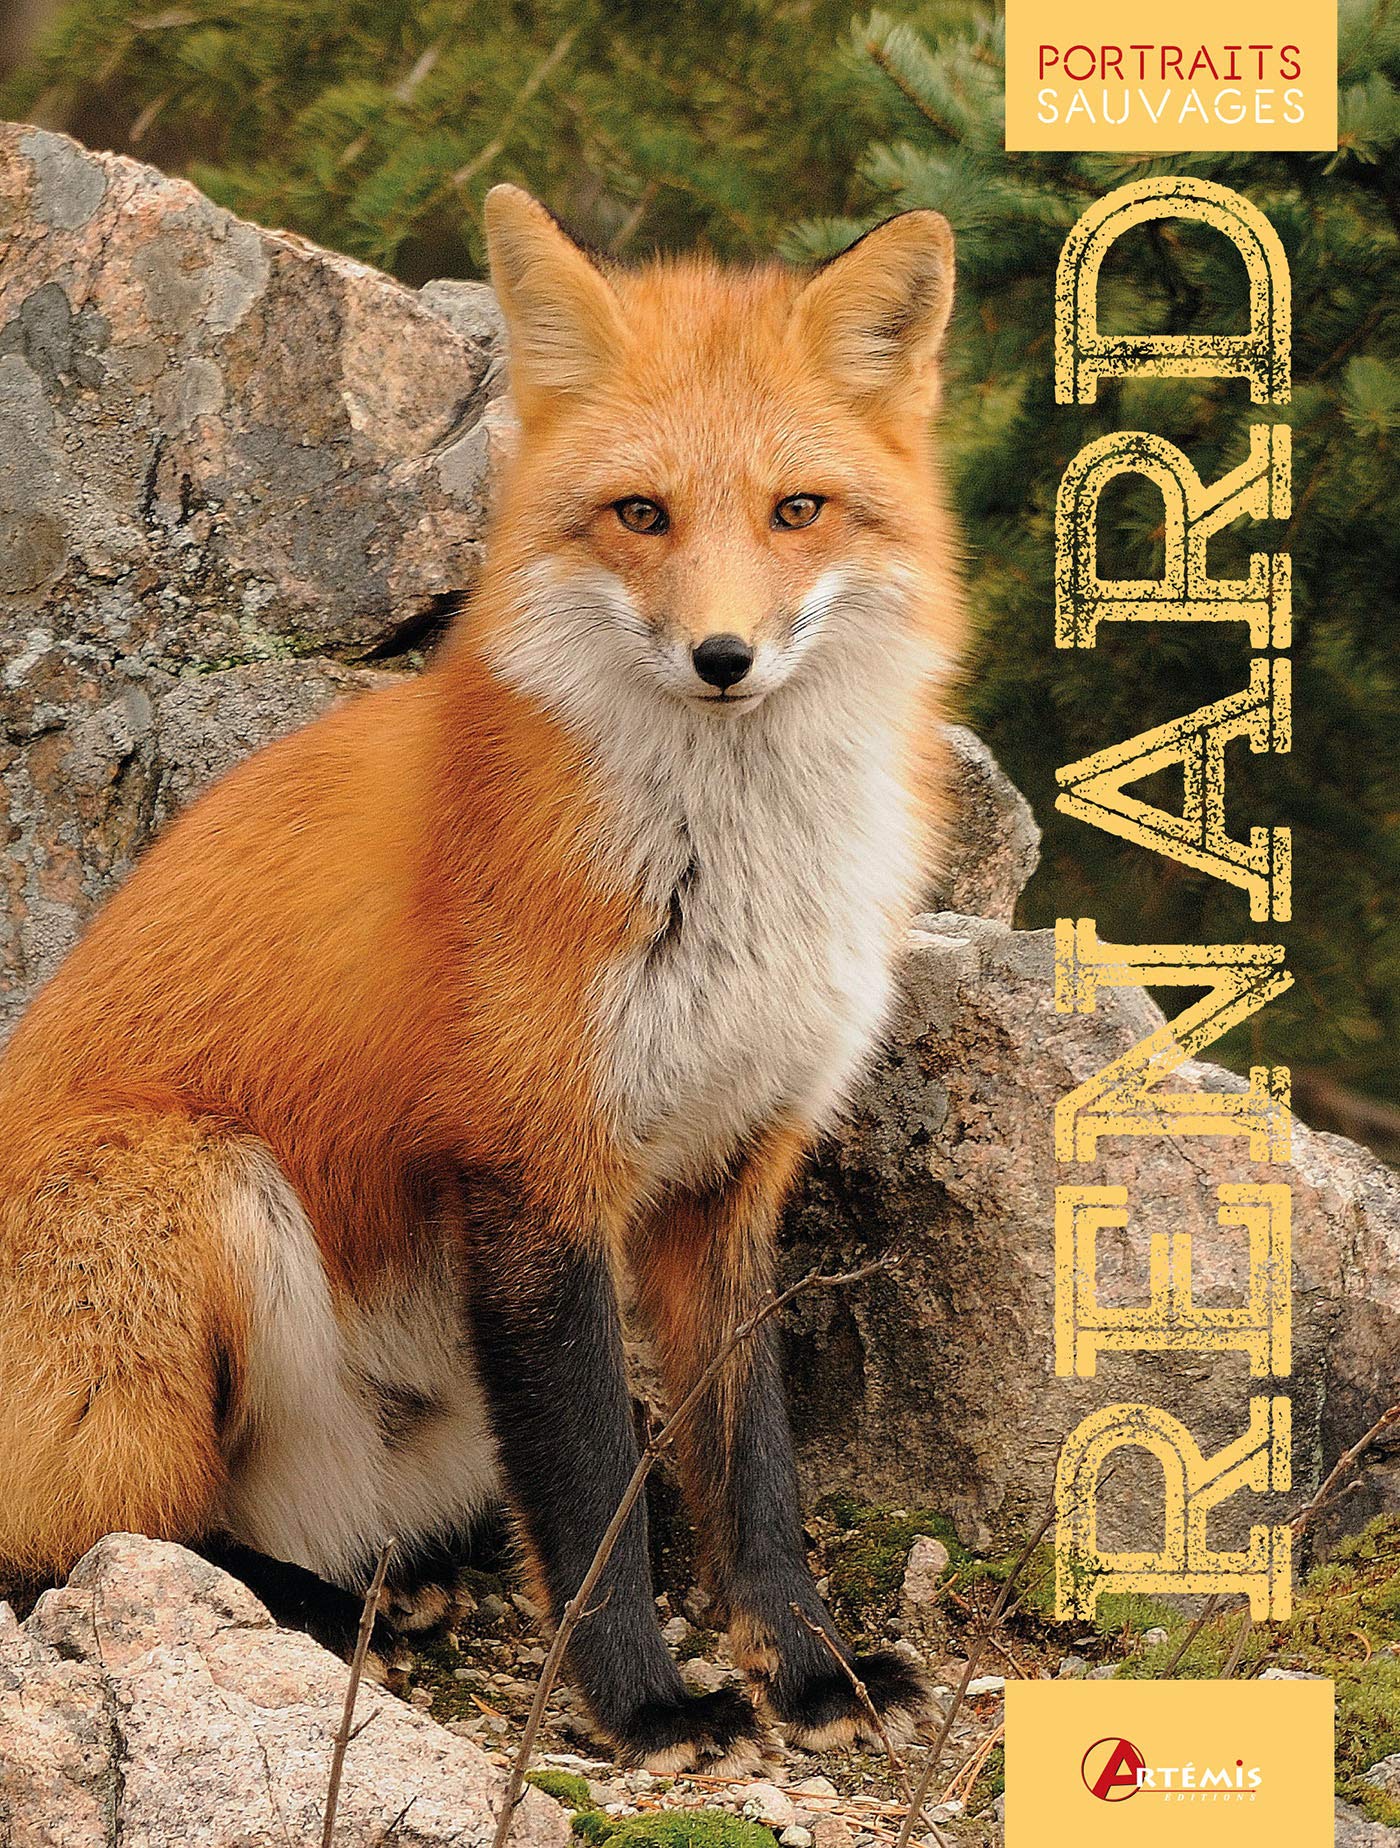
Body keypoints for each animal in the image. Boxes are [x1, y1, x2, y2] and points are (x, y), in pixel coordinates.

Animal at [0, 185, 964, 1771]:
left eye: (797, 510)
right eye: (640, 514)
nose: (723, 656)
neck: (725, 878)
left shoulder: (732, 1175)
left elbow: (750, 1466)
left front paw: (806, 1667)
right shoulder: (531, 1166)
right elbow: (585, 1494)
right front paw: (644, 1704)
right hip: (195, 1184)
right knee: (95, 1541)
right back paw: (311, 1608)